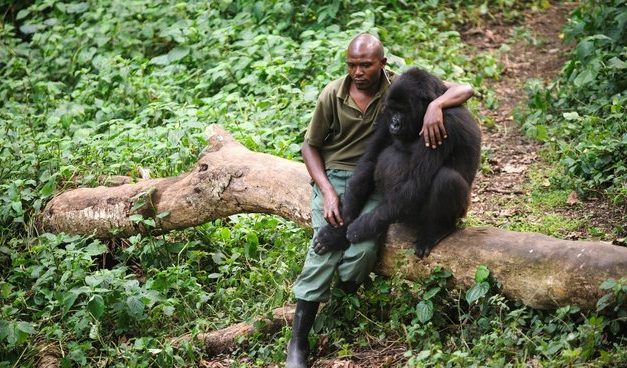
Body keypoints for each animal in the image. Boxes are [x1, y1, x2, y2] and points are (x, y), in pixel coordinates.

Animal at [316, 67, 484, 256]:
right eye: (393, 109)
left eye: (403, 110)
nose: (394, 124)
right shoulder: (385, 114)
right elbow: (369, 161)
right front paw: (336, 232)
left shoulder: (444, 122)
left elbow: (415, 182)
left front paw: (360, 228)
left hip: (458, 213)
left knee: (447, 179)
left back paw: (438, 230)